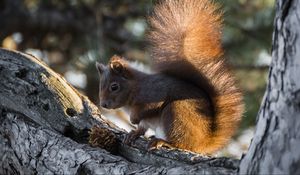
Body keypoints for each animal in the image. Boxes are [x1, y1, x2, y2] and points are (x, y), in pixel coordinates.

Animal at [96, 0, 244, 154]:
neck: (134, 89)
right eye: (100, 86)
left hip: (176, 112)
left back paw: (165, 142)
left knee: (183, 143)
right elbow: (142, 128)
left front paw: (134, 119)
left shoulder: (153, 93)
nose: (103, 104)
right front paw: (133, 133)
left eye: (114, 87)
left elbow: (149, 108)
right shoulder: (145, 121)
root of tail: (204, 142)